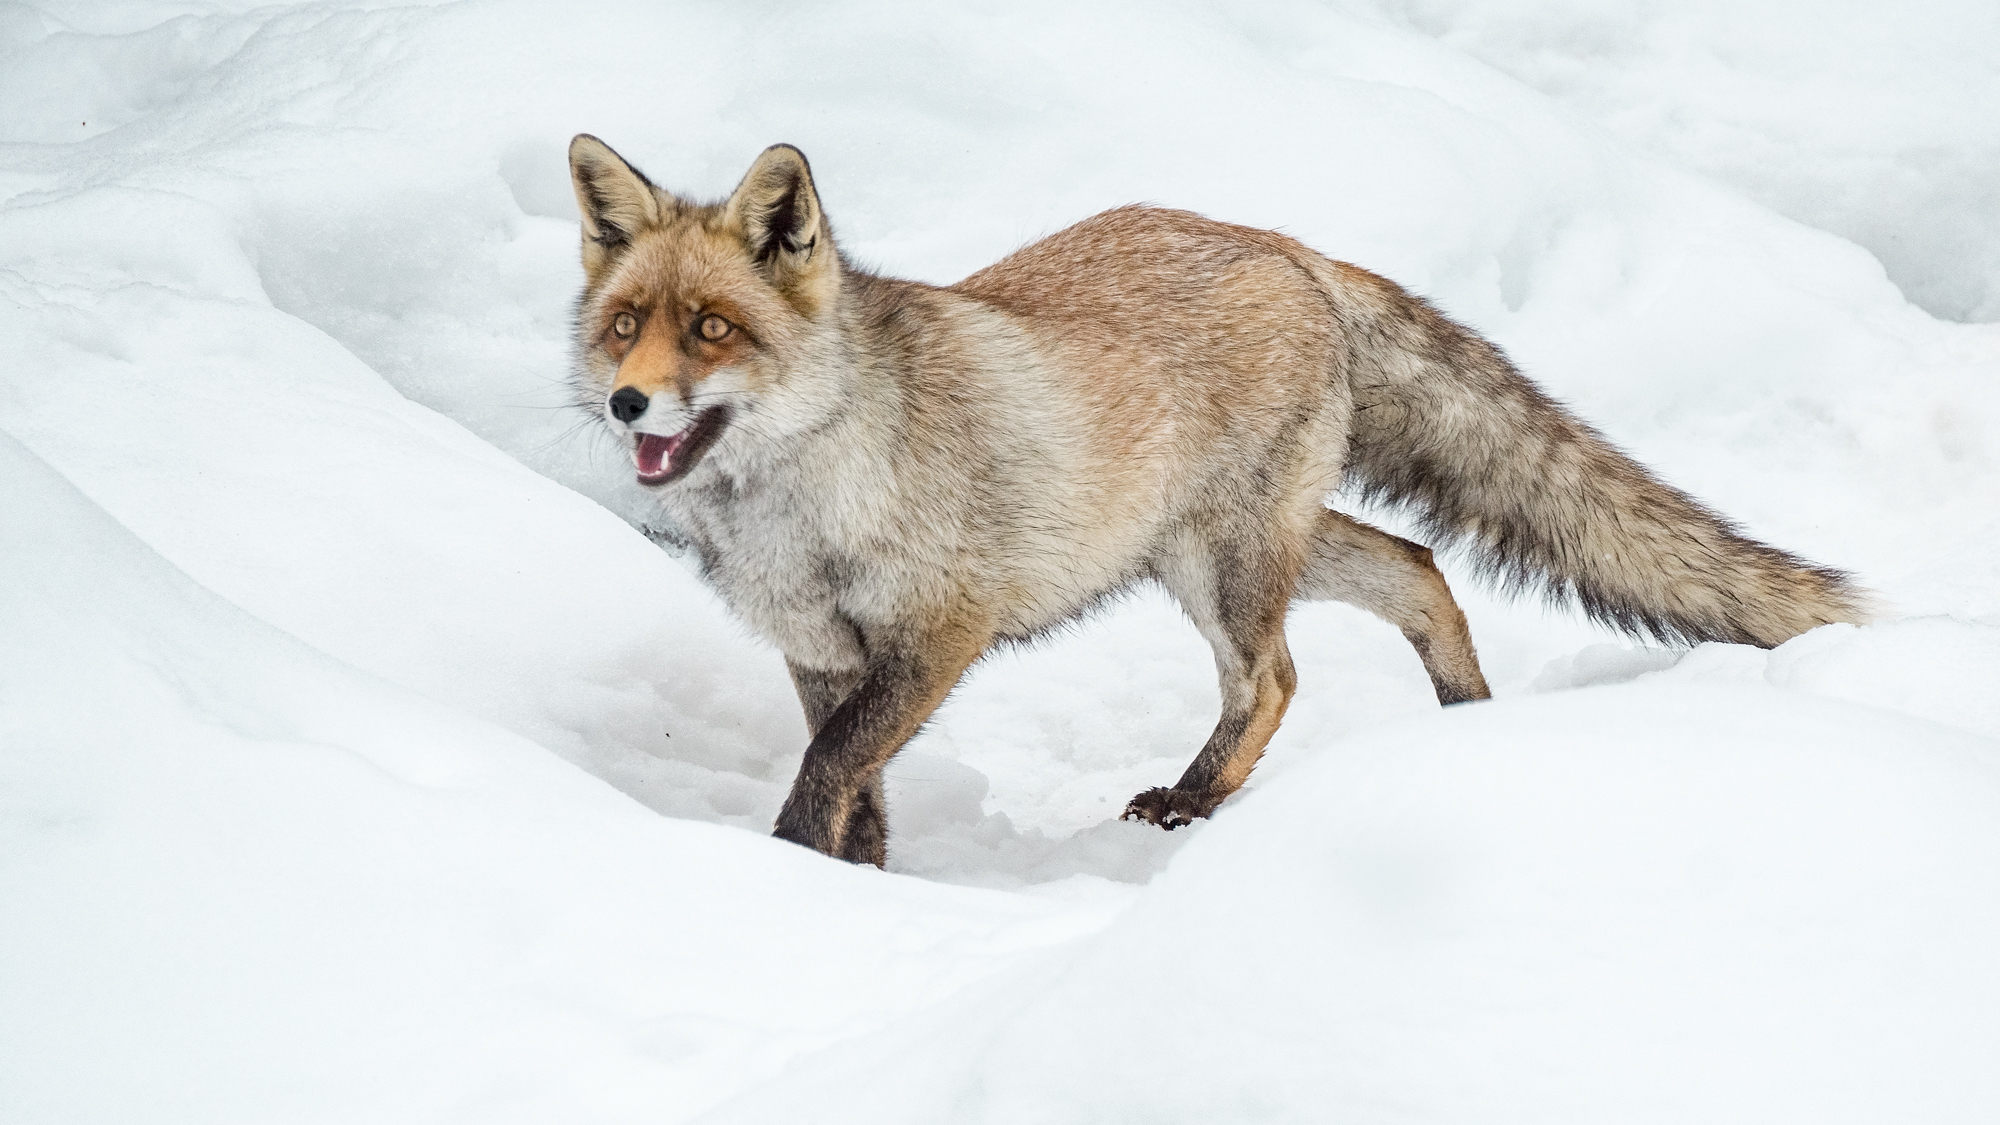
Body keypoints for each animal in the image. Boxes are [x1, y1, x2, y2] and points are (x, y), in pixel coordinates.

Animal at [566, 135, 1869, 867]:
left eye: (713, 330)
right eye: (626, 325)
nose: (628, 405)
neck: (801, 504)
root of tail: (1282, 243)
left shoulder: (938, 634)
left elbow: (828, 771)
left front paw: (783, 871)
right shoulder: (824, 652)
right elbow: (858, 791)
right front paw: (839, 893)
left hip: (1220, 567)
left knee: (1274, 677)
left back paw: (1192, 802)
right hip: (1236, 547)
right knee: (1418, 570)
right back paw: (1466, 734)